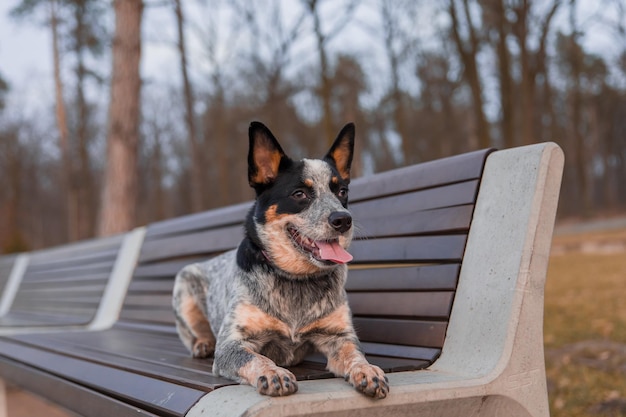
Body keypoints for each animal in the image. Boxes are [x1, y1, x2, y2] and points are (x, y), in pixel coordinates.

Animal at [171, 120, 386, 396]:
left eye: (341, 191)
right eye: (299, 194)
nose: (343, 220)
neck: (295, 279)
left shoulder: (339, 336)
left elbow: (355, 354)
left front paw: (368, 370)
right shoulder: (232, 343)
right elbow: (257, 358)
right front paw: (274, 373)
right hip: (184, 285)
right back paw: (202, 344)